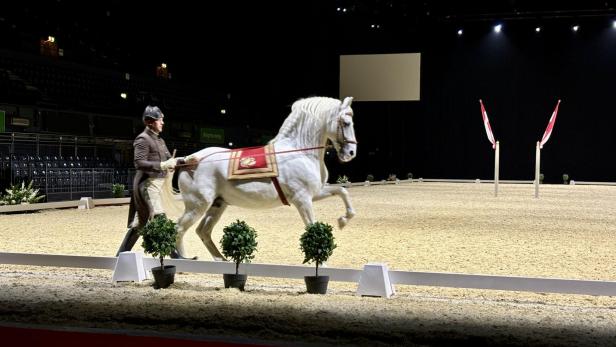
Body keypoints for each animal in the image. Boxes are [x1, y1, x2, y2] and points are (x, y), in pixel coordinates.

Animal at [172, 96, 356, 260]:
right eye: (346, 123)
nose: (351, 153)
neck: (299, 152)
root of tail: (187, 159)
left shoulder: (314, 193)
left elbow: (342, 191)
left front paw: (343, 220)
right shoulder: (302, 199)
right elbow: (312, 229)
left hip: (217, 204)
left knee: (202, 231)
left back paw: (220, 259)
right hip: (197, 205)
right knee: (179, 229)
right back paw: (181, 258)